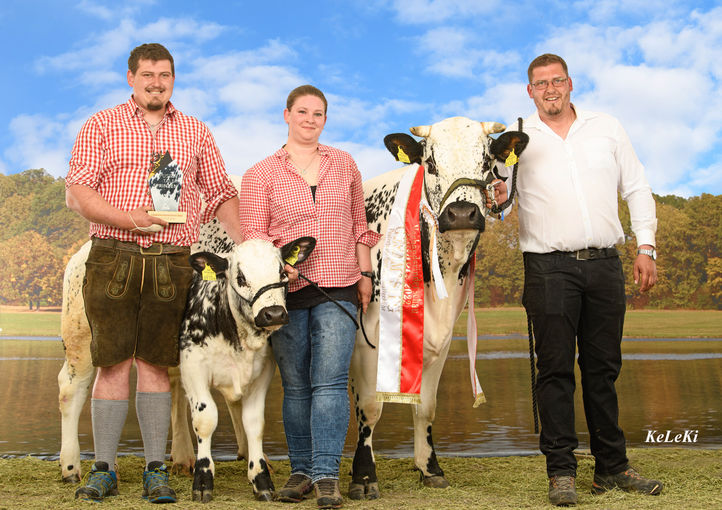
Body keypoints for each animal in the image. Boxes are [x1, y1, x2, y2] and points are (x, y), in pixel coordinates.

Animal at [346, 115, 524, 498]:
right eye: (430, 163)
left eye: (487, 162)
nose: (462, 214)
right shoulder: (367, 339)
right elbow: (370, 407)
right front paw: (364, 476)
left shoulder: (440, 340)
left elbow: (426, 407)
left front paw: (430, 468)